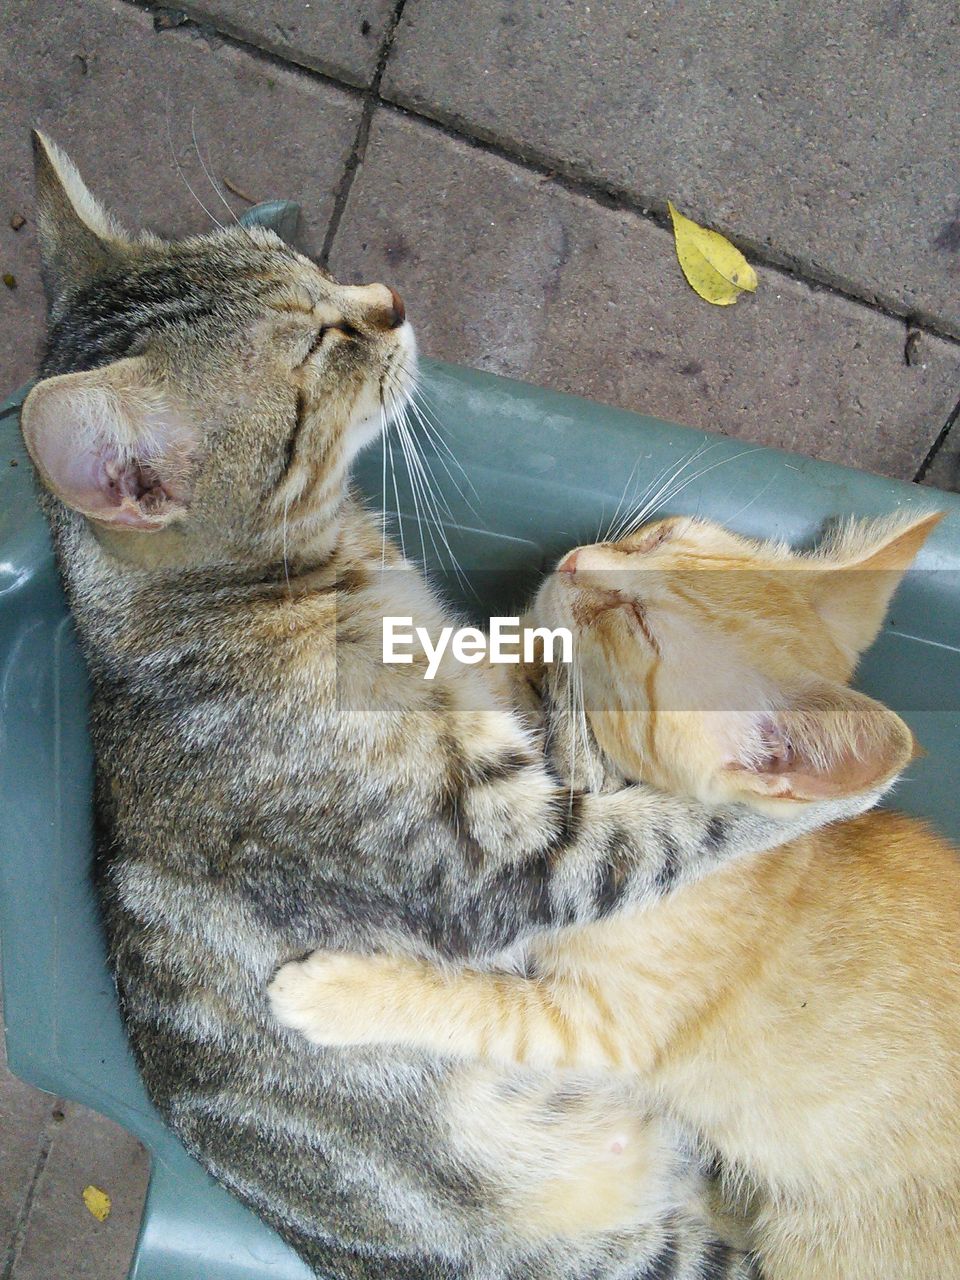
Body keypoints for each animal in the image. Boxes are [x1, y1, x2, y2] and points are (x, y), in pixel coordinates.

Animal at [20, 135, 880, 1274]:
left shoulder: (510, 706)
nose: (388, 299)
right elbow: (668, 829)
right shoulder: (497, 863)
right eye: (321, 344)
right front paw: (826, 777)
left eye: (309, 263)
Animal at [272, 509, 960, 1280]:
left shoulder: (601, 1025)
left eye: (637, 625)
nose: (575, 562)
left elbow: (483, 1008)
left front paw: (336, 993)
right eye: (657, 537)